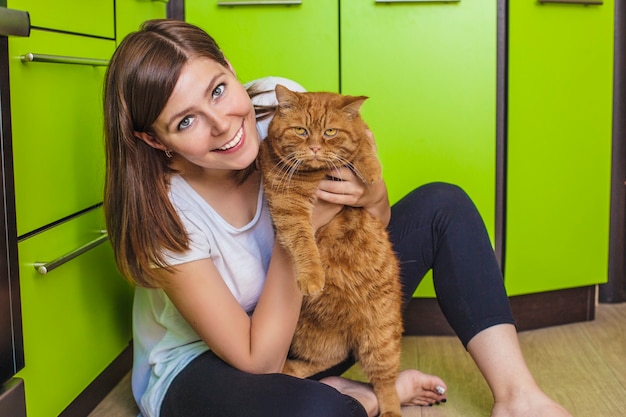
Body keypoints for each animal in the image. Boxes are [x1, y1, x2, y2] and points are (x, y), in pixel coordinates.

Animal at [256, 84, 402, 416]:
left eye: (330, 132)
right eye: (301, 131)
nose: (314, 148)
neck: (315, 174)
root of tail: (349, 328)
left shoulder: (360, 134)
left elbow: (363, 143)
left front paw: (371, 170)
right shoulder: (289, 209)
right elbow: (304, 244)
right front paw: (312, 276)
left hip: (380, 336)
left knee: (386, 383)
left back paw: (391, 409)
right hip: (313, 337)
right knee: (328, 359)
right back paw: (289, 368)